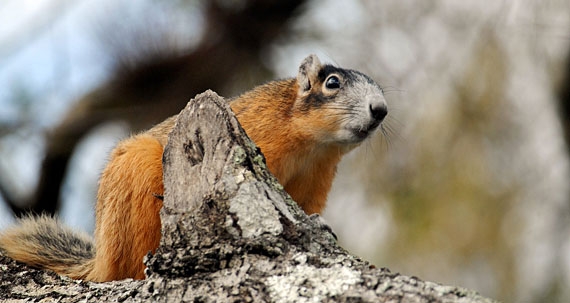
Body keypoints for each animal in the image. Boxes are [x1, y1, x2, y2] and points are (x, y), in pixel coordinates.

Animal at [0, 54, 386, 282]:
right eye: (332, 83)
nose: (380, 110)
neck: (313, 148)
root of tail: (99, 263)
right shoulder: (253, 135)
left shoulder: (315, 181)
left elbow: (305, 209)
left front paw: (318, 223)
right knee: (130, 264)